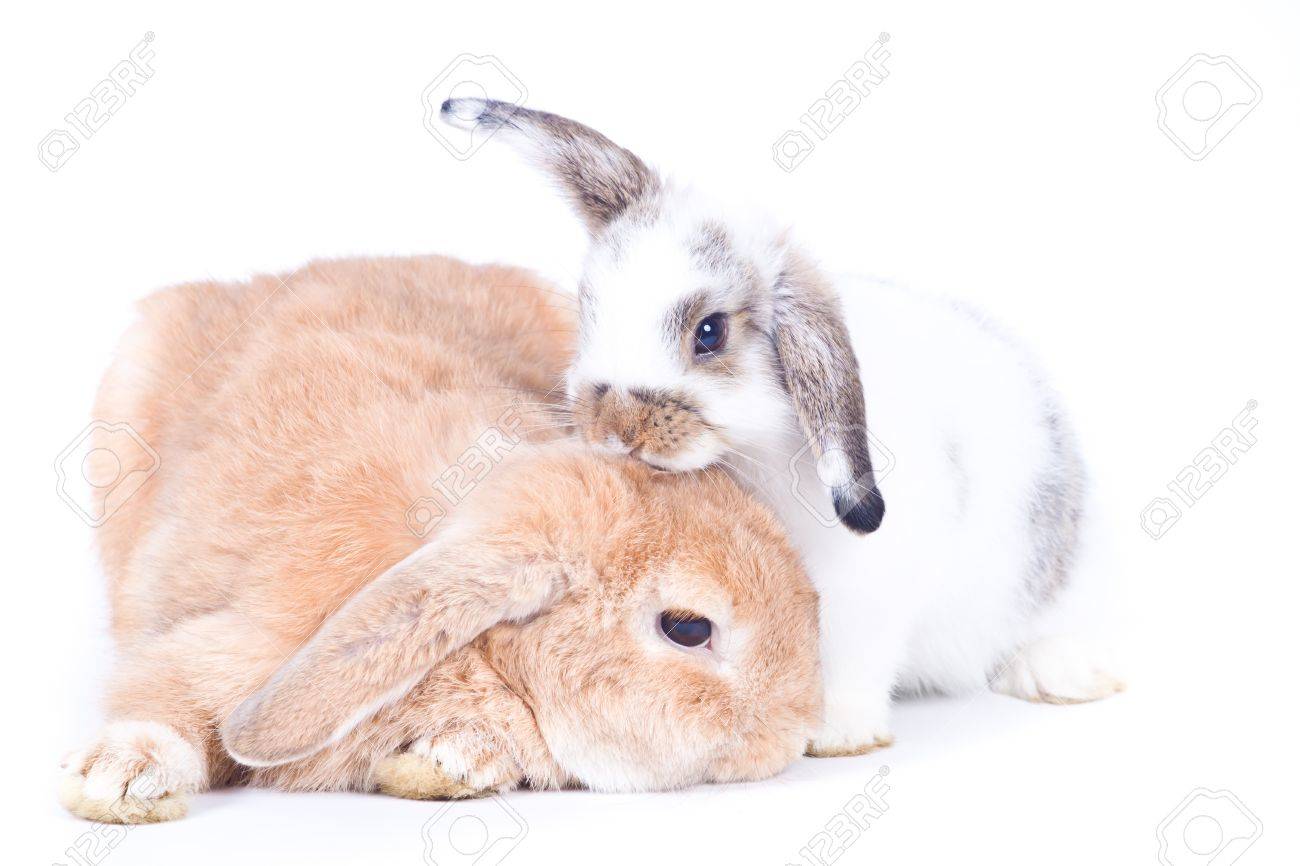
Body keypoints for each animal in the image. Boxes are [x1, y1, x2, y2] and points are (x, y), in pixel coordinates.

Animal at [59, 255, 822, 824]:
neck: (490, 651)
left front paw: (442, 762)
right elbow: (160, 706)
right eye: (688, 628)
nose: (792, 730)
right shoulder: (230, 650)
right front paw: (115, 782)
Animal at [441, 100, 1125, 757]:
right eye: (590, 308)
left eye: (710, 331)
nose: (614, 427)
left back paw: (1062, 674)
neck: (755, 453)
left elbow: (848, 664)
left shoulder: (861, 596)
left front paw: (838, 736)